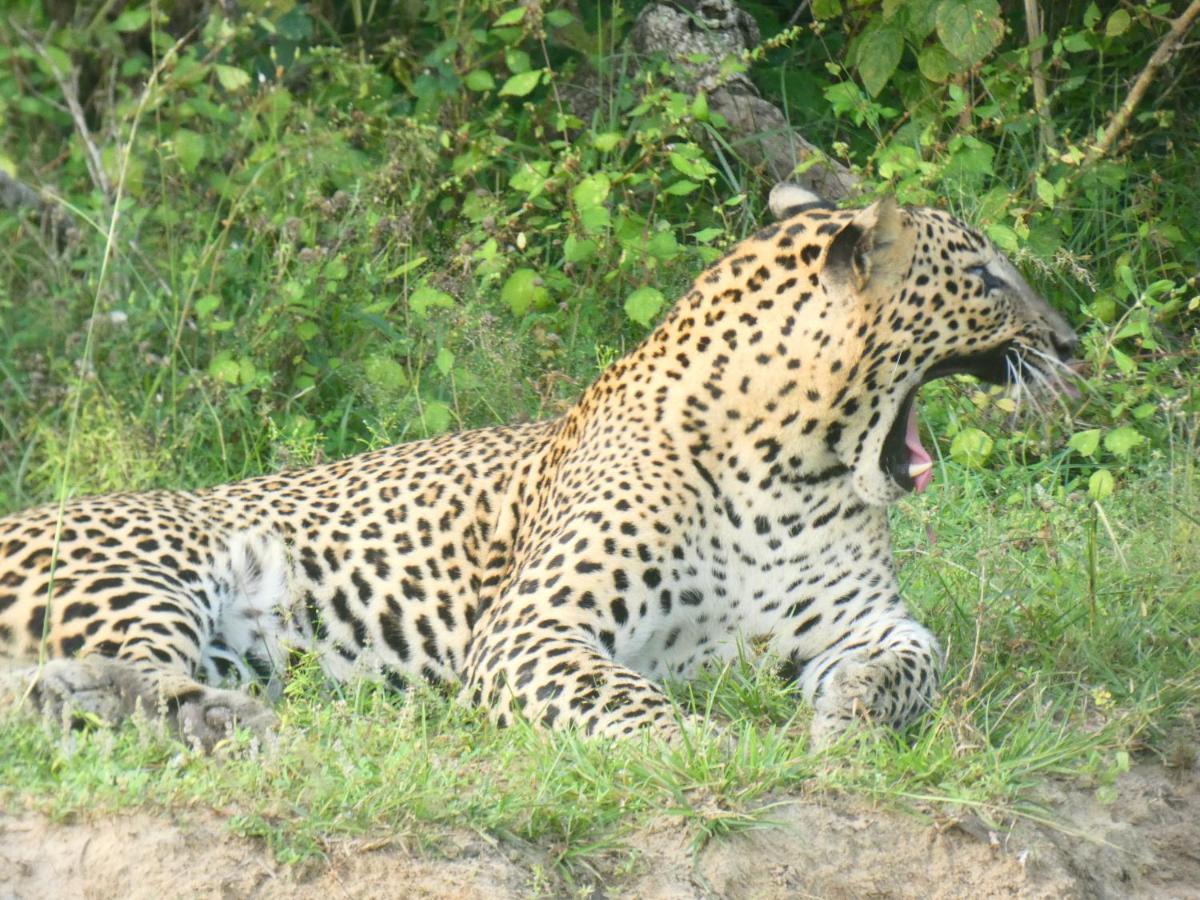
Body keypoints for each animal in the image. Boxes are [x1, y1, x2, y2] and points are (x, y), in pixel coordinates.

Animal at [0, 183, 1084, 748]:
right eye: (986, 276)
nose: (1072, 343)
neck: (795, 467)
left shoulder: (868, 621)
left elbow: (914, 664)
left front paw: (847, 723)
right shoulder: (533, 633)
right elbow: (635, 703)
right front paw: (711, 749)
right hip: (137, 577)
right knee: (68, 688)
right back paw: (238, 723)